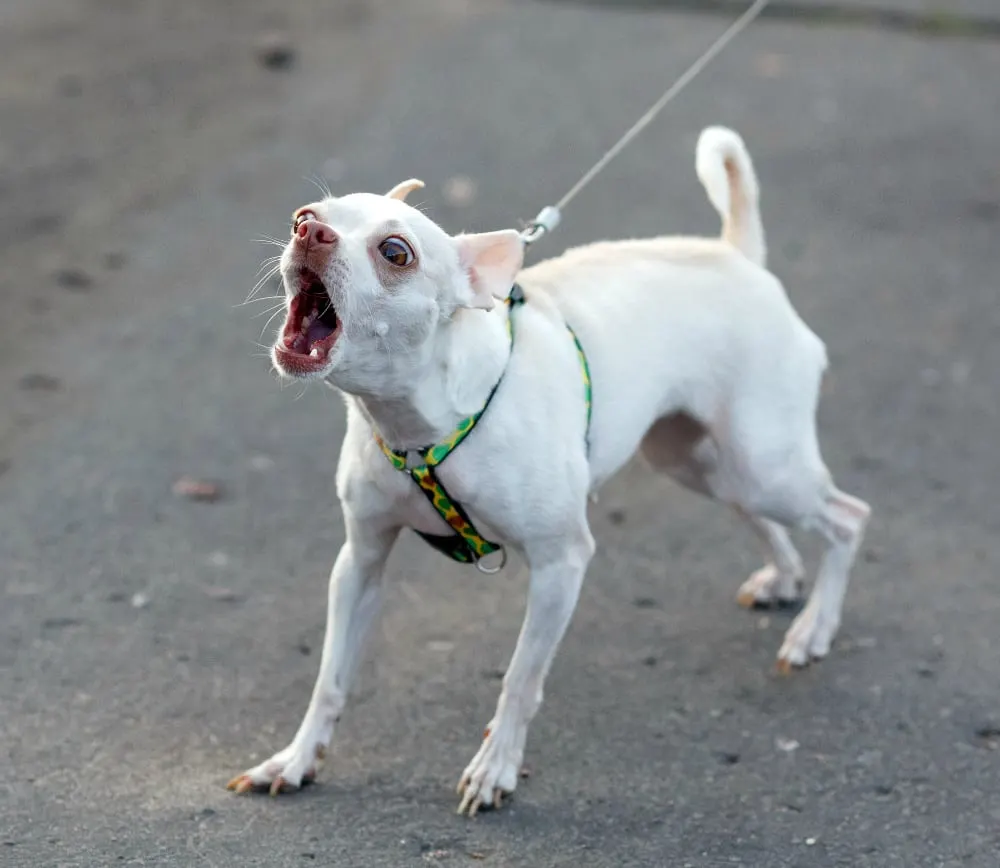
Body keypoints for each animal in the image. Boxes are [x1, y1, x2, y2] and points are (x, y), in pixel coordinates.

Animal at [227, 129, 868, 812]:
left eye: (395, 252)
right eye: (304, 215)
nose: (310, 233)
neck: (421, 429)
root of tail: (736, 255)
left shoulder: (562, 564)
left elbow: (520, 679)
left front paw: (495, 768)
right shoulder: (360, 565)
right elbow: (331, 679)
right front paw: (295, 760)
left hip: (764, 462)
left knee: (847, 518)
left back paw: (814, 629)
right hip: (700, 461)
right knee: (764, 514)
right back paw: (785, 578)